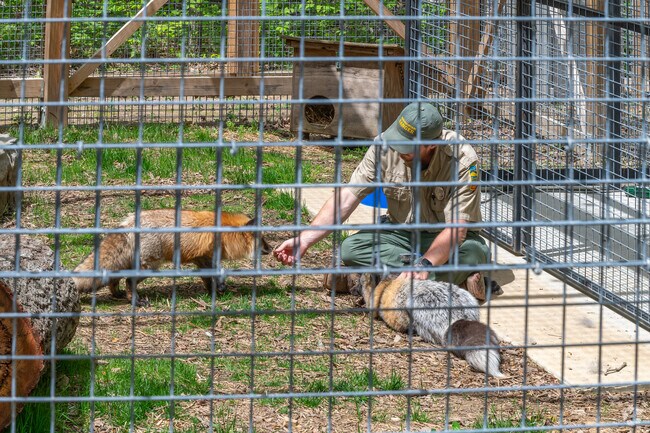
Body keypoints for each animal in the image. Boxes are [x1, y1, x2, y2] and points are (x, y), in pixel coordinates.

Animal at [72, 209, 272, 303]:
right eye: (263, 239)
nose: (271, 249)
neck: (225, 234)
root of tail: (128, 221)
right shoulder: (207, 257)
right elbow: (215, 274)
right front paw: (219, 289)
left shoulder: (202, 259)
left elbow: (208, 278)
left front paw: (213, 292)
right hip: (150, 266)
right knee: (129, 281)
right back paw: (135, 301)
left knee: (114, 279)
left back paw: (118, 294)